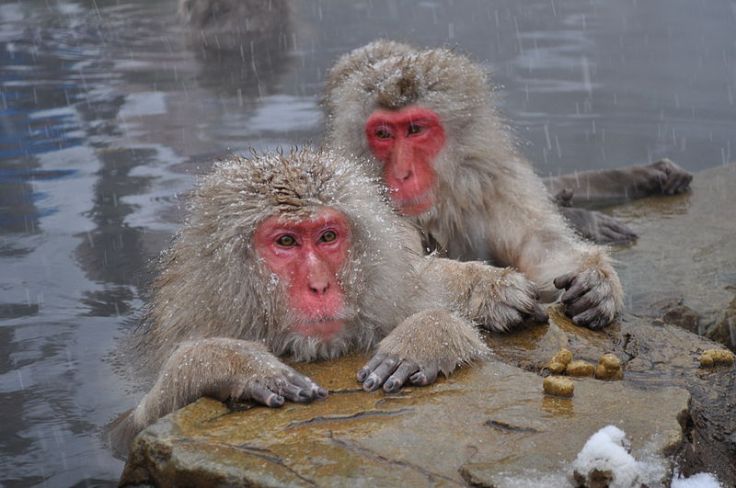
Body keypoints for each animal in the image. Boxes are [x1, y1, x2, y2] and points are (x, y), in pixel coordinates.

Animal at [111, 147, 555, 451]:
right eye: (286, 242)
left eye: (327, 237)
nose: (319, 285)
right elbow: (126, 429)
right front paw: (230, 363)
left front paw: (434, 331)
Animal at [323, 40, 625, 330]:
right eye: (383, 134)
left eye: (415, 129)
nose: (402, 173)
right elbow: (391, 280)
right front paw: (489, 288)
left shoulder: (497, 182)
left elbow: (542, 243)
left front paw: (596, 281)